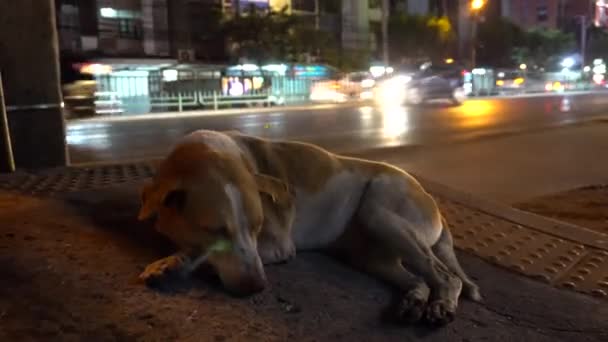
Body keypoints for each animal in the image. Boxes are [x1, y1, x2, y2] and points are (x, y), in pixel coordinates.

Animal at [137, 130, 480, 326]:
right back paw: (414, 302)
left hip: (381, 213)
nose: (257, 287)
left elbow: (202, 256)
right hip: (370, 254)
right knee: (419, 279)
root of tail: (433, 201)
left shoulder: (276, 246)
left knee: (447, 277)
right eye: (215, 230)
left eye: (257, 226)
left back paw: (442, 305)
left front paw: (170, 264)